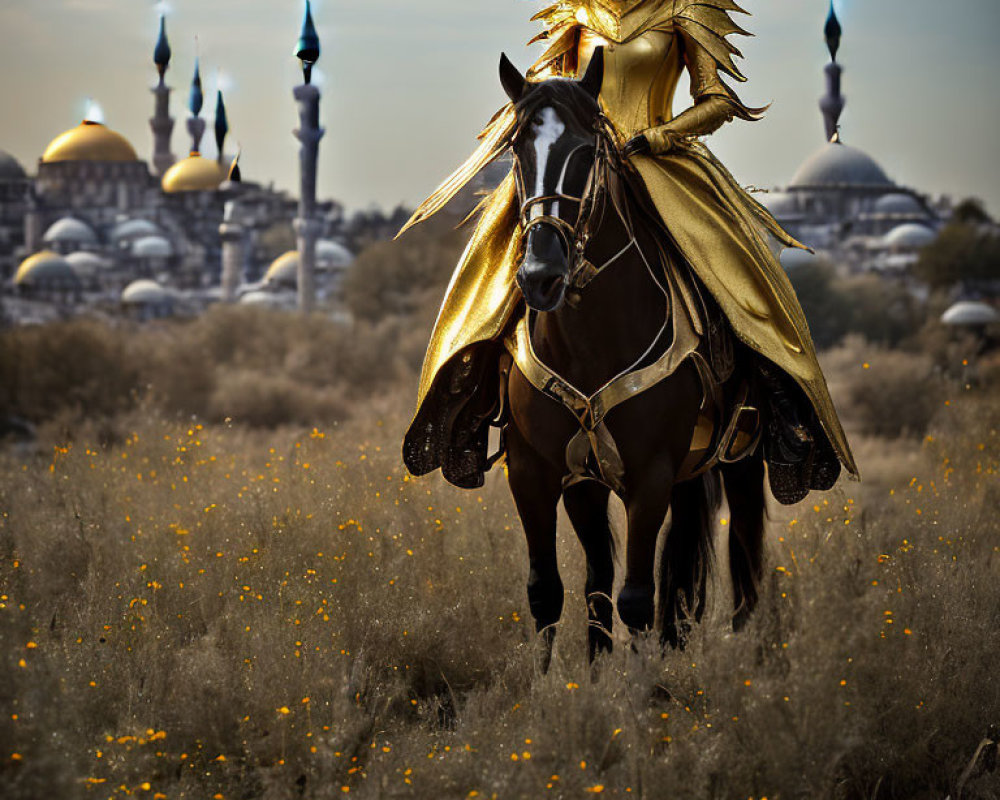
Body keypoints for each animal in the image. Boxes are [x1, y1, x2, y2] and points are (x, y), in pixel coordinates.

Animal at [498, 48, 764, 664]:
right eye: (517, 149)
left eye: (585, 150)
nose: (540, 277)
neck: (589, 340)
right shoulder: (538, 471)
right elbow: (549, 590)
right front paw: (563, 685)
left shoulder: (650, 476)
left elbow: (637, 599)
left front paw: (640, 689)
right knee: (621, 574)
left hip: (742, 459)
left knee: (747, 564)